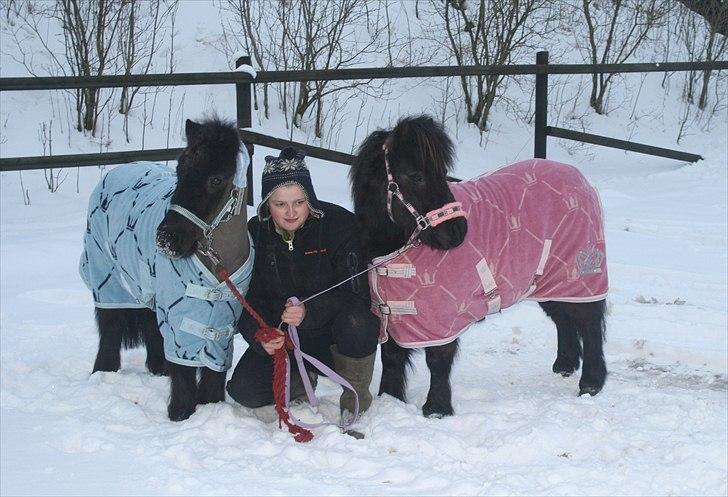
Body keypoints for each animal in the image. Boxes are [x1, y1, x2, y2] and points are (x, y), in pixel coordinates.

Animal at [352, 114, 608, 416]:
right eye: (416, 175)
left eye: (443, 172)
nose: (458, 232)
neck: (395, 254)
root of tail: (579, 178)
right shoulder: (393, 315)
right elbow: (392, 358)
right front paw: (390, 401)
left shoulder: (442, 318)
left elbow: (438, 359)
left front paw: (437, 409)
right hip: (548, 280)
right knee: (563, 317)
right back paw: (565, 364)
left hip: (580, 275)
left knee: (589, 321)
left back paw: (591, 382)